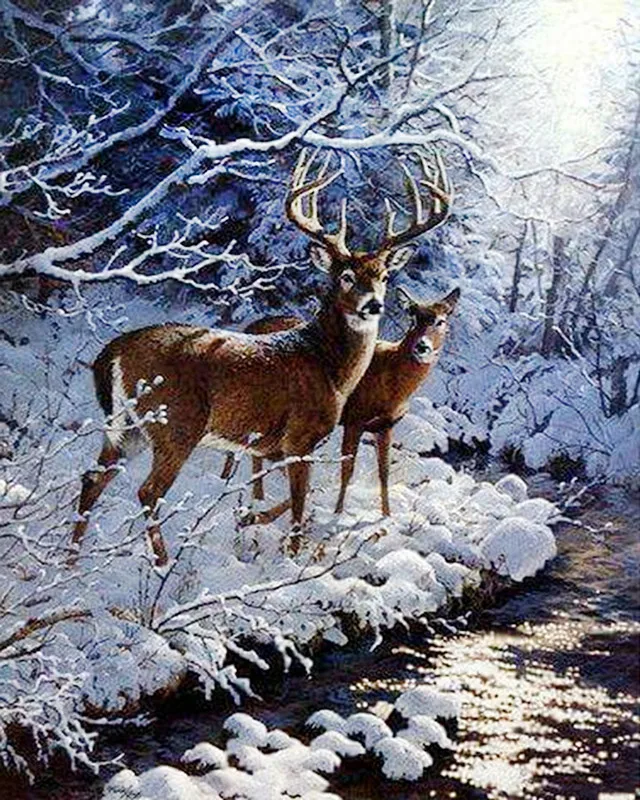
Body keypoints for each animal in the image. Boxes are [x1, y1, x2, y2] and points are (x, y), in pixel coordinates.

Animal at [225, 286, 459, 517]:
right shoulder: (355, 418)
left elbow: (384, 472)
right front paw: (337, 513)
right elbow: (347, 469)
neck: (392, 384)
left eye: (441, 321)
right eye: (412, 318)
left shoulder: (385, 426)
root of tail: (248, 327)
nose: (422, 346)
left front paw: (386, 515)